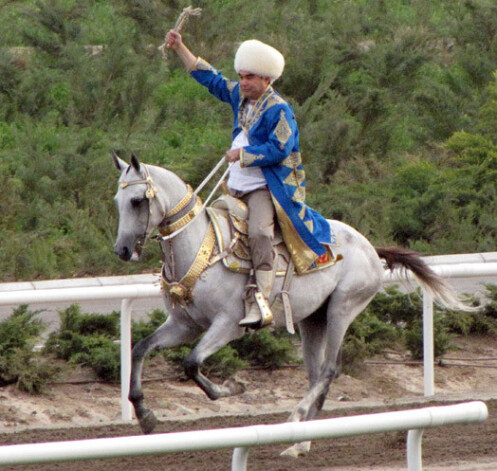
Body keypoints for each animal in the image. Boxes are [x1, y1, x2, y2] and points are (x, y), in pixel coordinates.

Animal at [111, 152, 468, 458]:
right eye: (117, 201)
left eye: (137, 200)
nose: (122, 250)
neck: (203, 247)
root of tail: (370, 247)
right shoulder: (184, 325)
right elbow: (141, 349)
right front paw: (144, 414)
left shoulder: (227, 325)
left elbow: (191, 362)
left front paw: (232, 387)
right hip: (313, 321)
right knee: (315, 374)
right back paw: (300, 443)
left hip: (342, 309)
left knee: (329, 370)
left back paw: (295, 421)